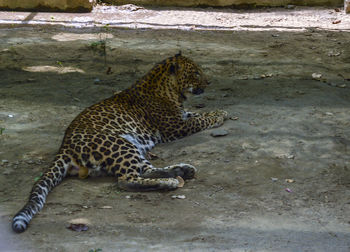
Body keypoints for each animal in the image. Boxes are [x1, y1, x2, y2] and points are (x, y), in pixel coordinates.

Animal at [12, 52, 228, 233]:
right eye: (195, 73)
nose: (209, 81)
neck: (168, 88)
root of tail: (64, 147)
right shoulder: (176, 127)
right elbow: (200, 120)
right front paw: (218, 116)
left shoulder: (181, 117)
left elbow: (197, 114)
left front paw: (220, 111)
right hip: (121, 144)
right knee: (127, 180)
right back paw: (171, 181)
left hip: (133, 147)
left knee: (146, 170)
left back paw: (182, 170)